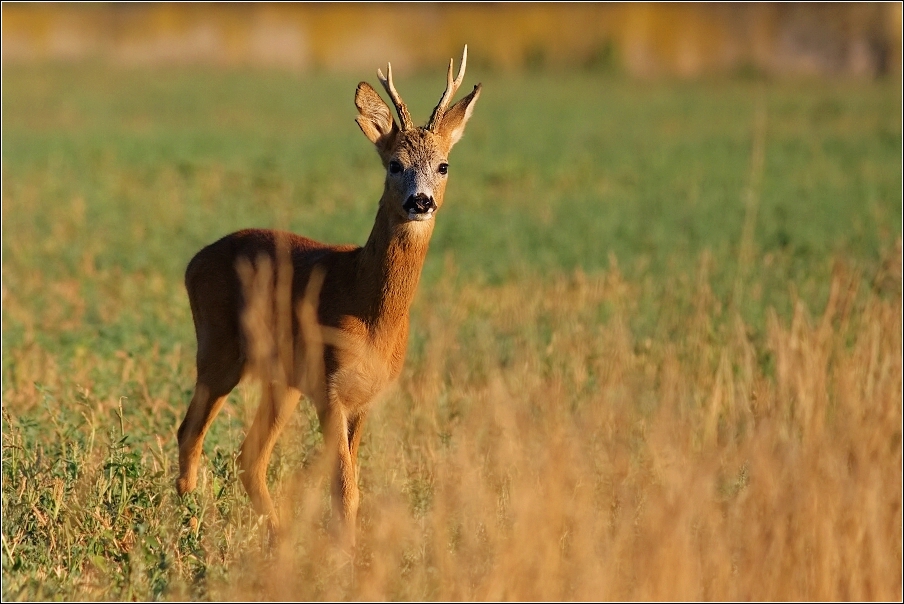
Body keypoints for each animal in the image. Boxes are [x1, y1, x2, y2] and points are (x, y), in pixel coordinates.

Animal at [171, 47, 480, 548]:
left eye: (444, 165)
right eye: (394, 164)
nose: (421, 201)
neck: (369, 311)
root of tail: (193, 262)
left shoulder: (363, 397)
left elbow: (343, 484)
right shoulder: (330, 388)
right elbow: (345, 490)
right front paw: (346, 556)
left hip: (281, 380)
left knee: (249, 457)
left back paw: (276, 537)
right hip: (219, 348)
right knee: (190, 433)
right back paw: (188, 527)